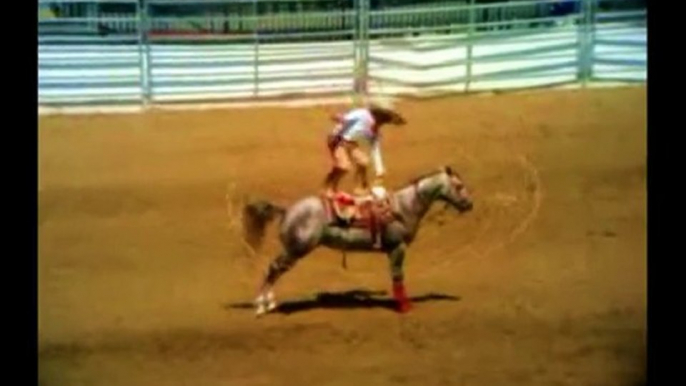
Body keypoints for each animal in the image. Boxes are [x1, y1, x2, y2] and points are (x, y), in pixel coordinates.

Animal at [245, 166, 476, 316]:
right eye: (458, 185)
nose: (469, 205)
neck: (402, 207)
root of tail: (287, 209)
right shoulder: (397, 248)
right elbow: (398, 276)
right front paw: (404, 307)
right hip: (296, 249)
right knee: (273, 269)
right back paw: (262, 305)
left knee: (274, 270)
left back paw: (268, 303)